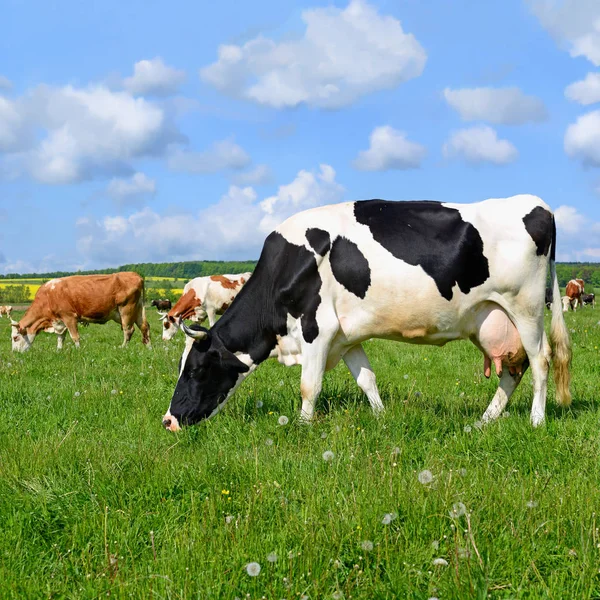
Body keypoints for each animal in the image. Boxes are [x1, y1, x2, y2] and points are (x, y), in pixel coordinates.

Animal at [10, 272, 151, 352]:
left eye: (15, 337)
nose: (15, 353)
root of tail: (135, 275)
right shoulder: (60, 321)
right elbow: (60, 337)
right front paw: (58, 351)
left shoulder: (69, 317)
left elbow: (75, 336)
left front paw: (78, 351)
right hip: (136, 309)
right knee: (144, 327)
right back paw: (149, 347)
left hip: (126, 309)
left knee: (128, 329)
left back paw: (123, 347)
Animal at [163, 192, 572, 432]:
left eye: (196, 370)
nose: (168, 420)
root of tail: (538, 202)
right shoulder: (346, 337)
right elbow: (367, 380)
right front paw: (381, 416)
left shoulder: (316, 327)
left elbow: (309, 385)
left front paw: (302, 427)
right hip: (492, 318)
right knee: (513, 369)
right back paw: (485, 420)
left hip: (526, 307)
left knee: (541, 360)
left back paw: (536, 420)